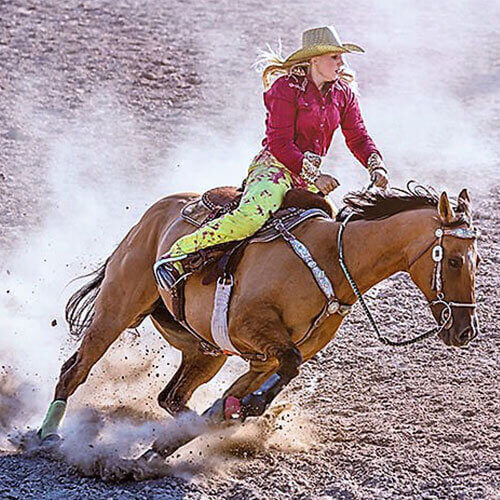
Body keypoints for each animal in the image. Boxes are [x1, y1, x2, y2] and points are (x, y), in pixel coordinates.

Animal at [37, 183, 478, 460]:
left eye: (478, 259)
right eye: (455, 260)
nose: (465, 331)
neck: (334, 261)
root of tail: (154, 214)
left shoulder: (262, 359)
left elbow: (255, 386)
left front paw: (212, 423)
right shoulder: (252, 331)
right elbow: (284, 369)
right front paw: (247, 408)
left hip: (205, 351)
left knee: (171, 397)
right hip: (116, 310)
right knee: (76, 369)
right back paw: (47, 435)